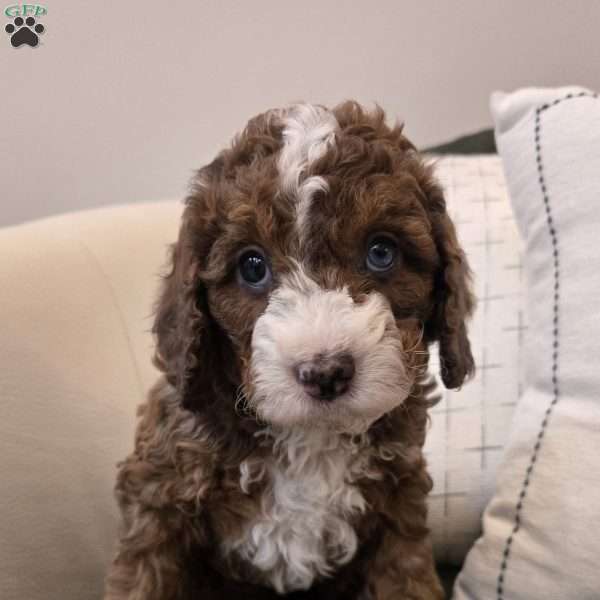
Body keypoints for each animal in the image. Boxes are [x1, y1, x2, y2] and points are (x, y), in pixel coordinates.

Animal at [105, 102, 476, 600]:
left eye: (382, 252)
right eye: (252, 266)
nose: (325, 373)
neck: (308, 437)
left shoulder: (398, 506)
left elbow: (405, 577)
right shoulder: (158, 499)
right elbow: (143, 578)